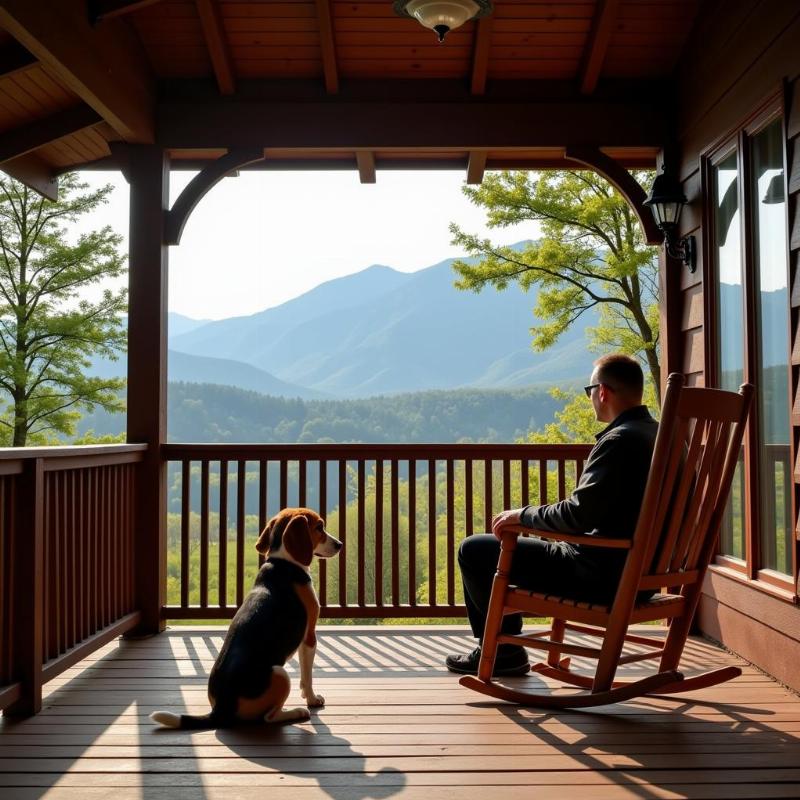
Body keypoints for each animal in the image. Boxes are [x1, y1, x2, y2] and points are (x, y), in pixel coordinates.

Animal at [150, 510, 340, 728]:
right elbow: (307, 676)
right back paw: (296, 712)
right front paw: (311, 699)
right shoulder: (309, 637)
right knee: (269, 718)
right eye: (319, 527)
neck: (284, 562)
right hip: (280, 674)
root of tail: (221, 708)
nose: (340, 544)